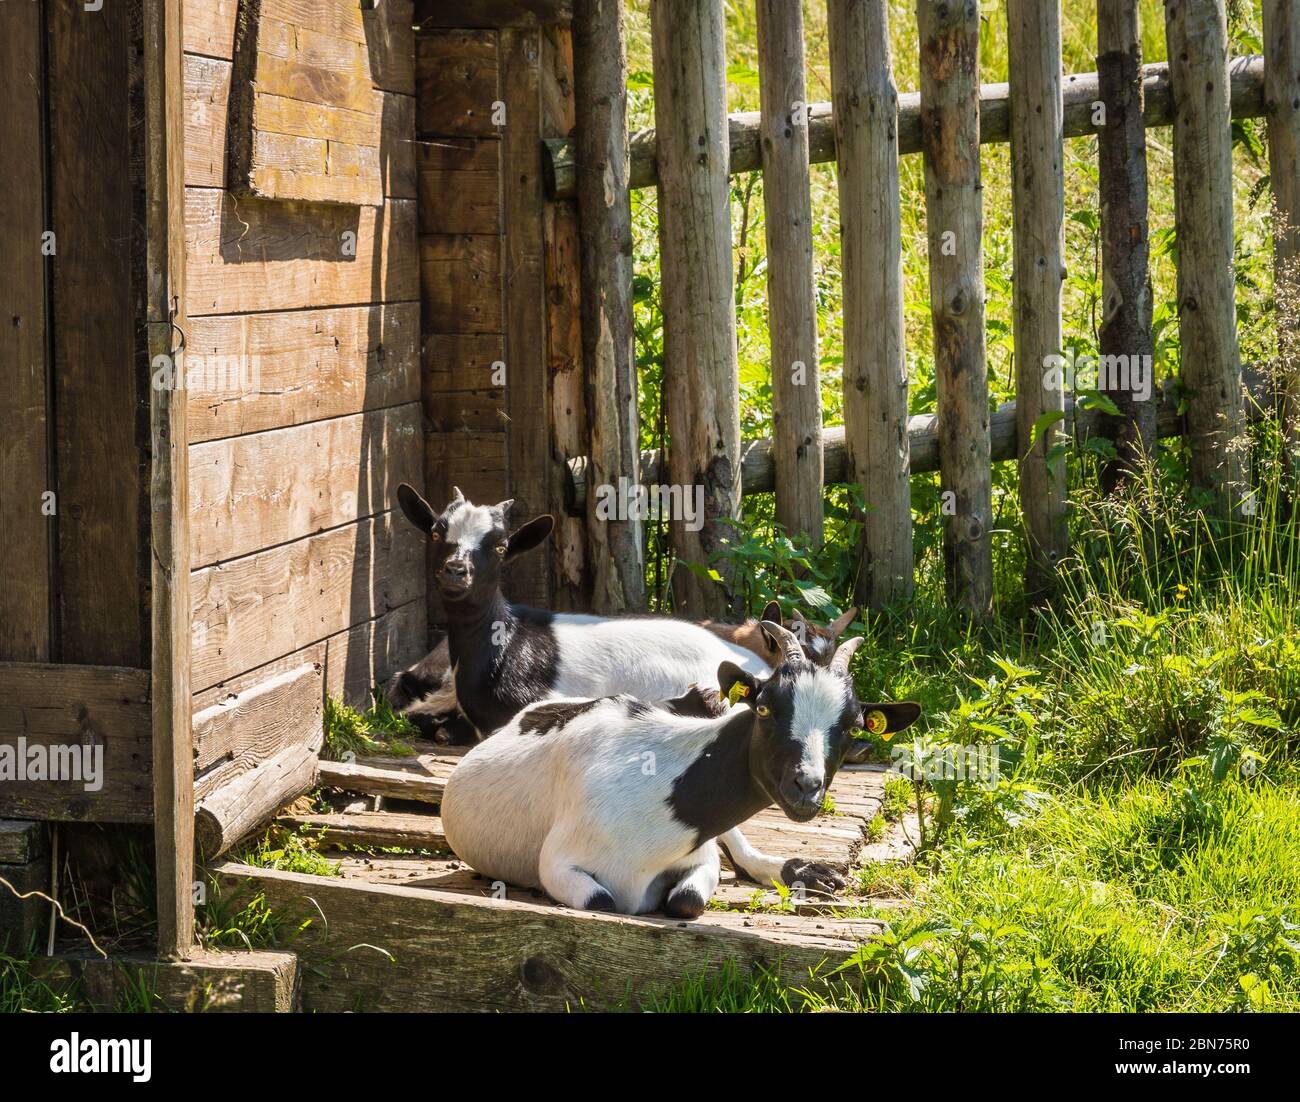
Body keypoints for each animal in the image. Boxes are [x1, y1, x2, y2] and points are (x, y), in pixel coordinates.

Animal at [441, 623, 920, 914]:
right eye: (765, 707)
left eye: (853, 725)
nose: (806, 786)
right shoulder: (559, 864)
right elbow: (604, 901)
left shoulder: (700, 857)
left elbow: (687, 900)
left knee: (743, 853)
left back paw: (804, 872)